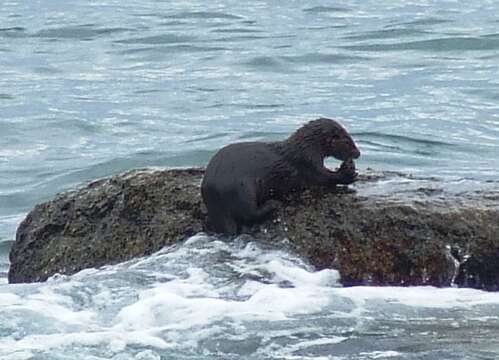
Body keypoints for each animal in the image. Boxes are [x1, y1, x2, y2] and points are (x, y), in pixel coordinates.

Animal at [201, 118, 362, 235]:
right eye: (348, 142)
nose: (358, 153)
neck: (306, 148)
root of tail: (213, 194)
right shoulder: (308, 162)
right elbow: (323, 177)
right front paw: (348, 173)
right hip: (242, 189)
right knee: (249, 213)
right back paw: (273, 204)